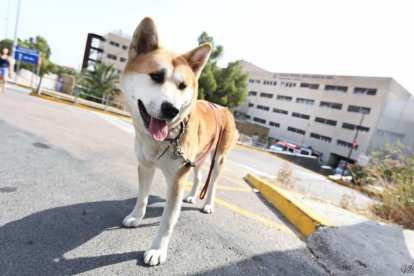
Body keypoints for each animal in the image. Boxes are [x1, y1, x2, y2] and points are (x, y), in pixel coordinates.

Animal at [118, 16, 238, 266]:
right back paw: (192, 196)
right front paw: (136, 217)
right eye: (156, 76)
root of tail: (223, 107)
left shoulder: (176, 179)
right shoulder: (145, 166)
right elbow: (142, 198)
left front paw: (157, 250)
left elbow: (167, 220)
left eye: (182, 86)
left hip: (218, 159)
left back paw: (208, 204)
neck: (167, 137)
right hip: (198, 157)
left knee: (212, 184)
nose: (171, 109)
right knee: (200, 176)